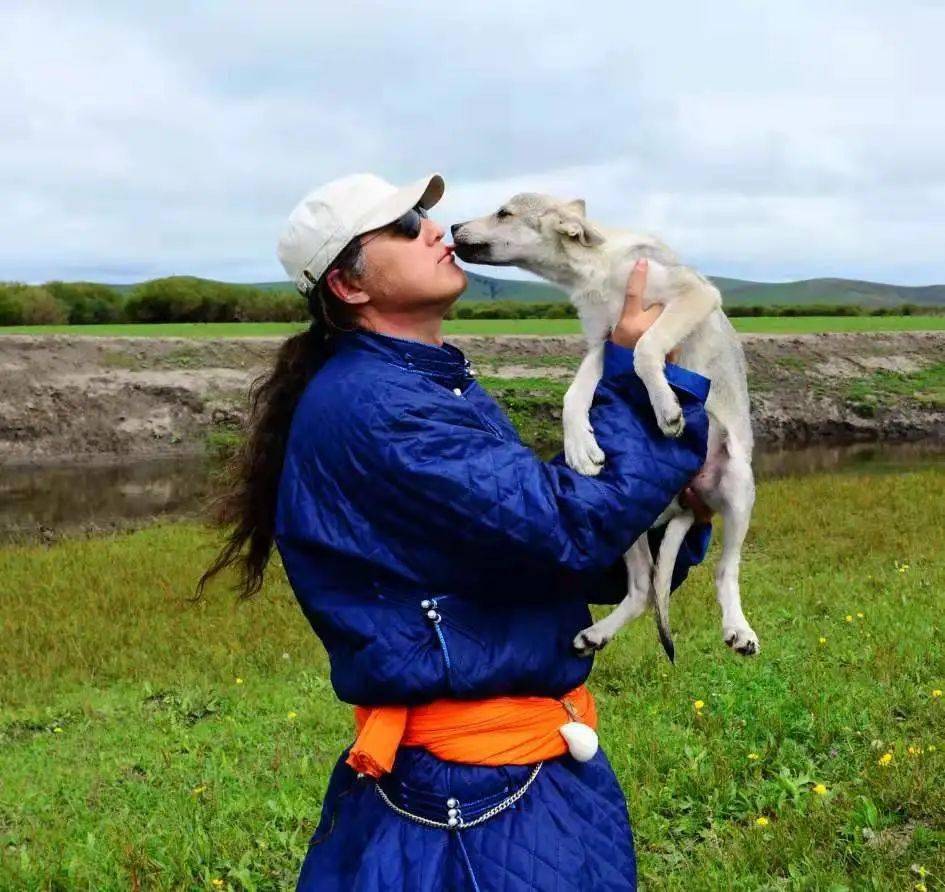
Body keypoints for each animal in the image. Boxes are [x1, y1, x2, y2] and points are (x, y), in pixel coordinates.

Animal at [452, 195, 760, 660]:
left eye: (504, 213)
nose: (451, 227)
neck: (595, 272)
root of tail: (685, 502)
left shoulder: (691, 295)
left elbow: (646, 348)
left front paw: (667, 409)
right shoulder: (604, 341)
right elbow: (573, 394)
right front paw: (580, 446)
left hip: (739, 485)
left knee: (726, 571)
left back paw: (739, 630)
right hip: (628, 518)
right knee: (643, 587)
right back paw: (597, 633)